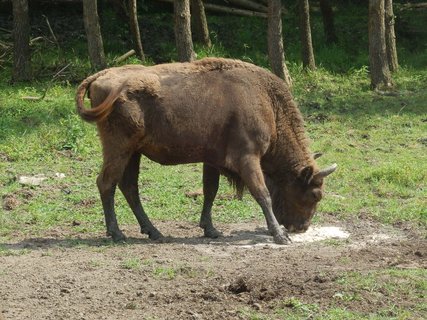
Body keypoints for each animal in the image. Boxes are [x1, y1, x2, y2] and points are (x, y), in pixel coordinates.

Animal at [77, 57, 338, 244]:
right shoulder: (247, 158)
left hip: (134, 152)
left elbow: (210, 191)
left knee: (129, 187)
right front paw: (280, 236)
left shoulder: (212, 160)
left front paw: (211, 230)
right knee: (106, 183)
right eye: (315, 194)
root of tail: (100, 76)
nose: (301, 227)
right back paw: (117, 234)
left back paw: (155, 232)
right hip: (119, 148)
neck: (267, 102)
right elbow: (262, 193)